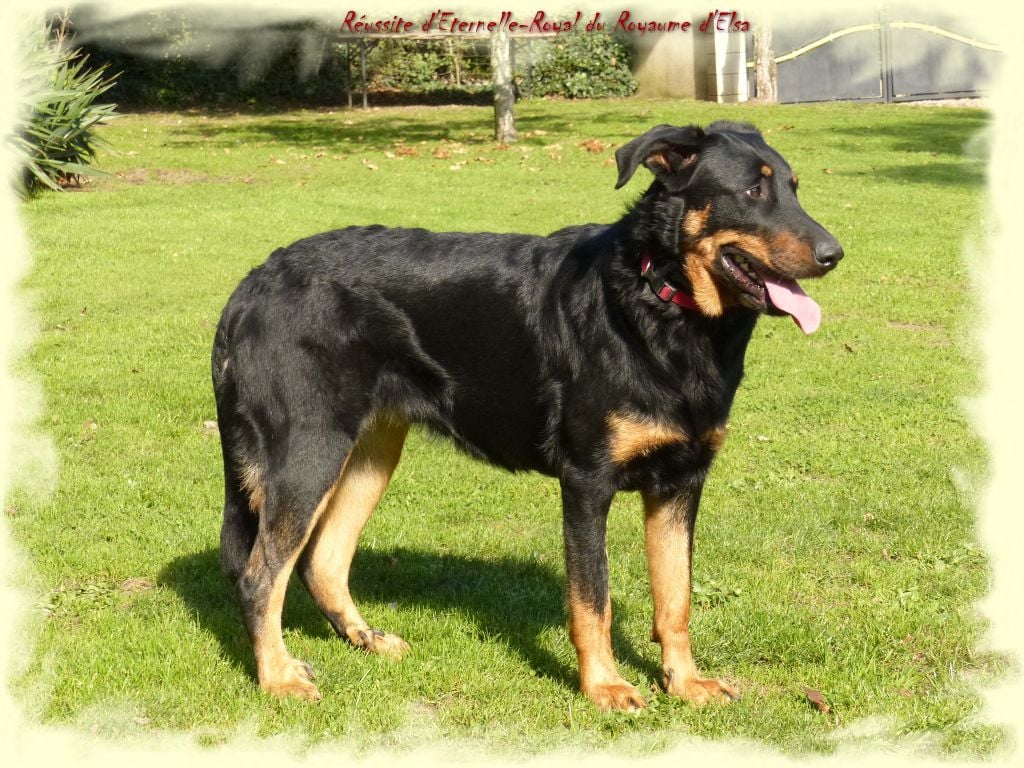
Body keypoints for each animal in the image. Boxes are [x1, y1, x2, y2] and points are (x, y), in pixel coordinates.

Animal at [211, 121, 843, 711]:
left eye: (793, 188)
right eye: (751, 191)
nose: (834, 254)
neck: (658, 300)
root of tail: (250, 286)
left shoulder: (680, 484)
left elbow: (675, 599)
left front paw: (684, 684)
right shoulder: (587, 484)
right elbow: (593, 600)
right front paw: (604, 687)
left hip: (370, 452)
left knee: (322, 560)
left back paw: (365, 639)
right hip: (307, 452)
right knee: (260, 574)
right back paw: (278, 677)